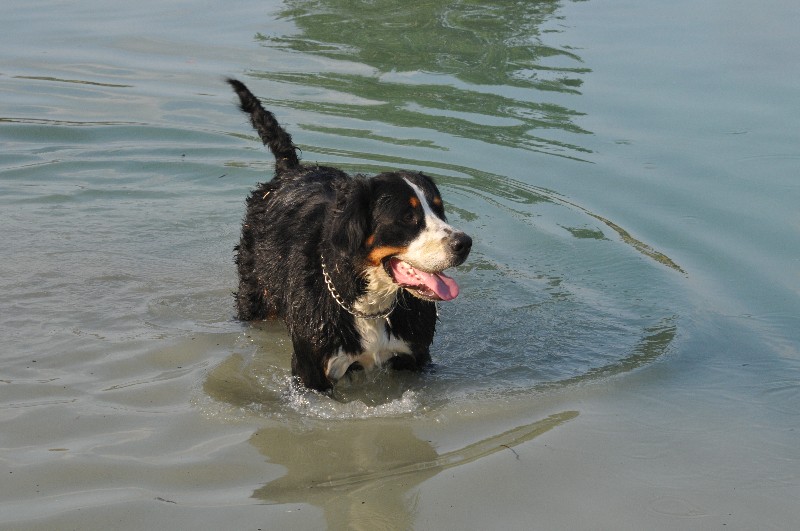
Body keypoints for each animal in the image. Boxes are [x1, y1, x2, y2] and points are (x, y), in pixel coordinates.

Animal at [228, 79, 472, 392]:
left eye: (440, 210)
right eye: (408, 216)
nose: (464, 243)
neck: (372, 304)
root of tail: (290, 170)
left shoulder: (416, 358)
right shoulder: (311, 369)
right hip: (255, 295)